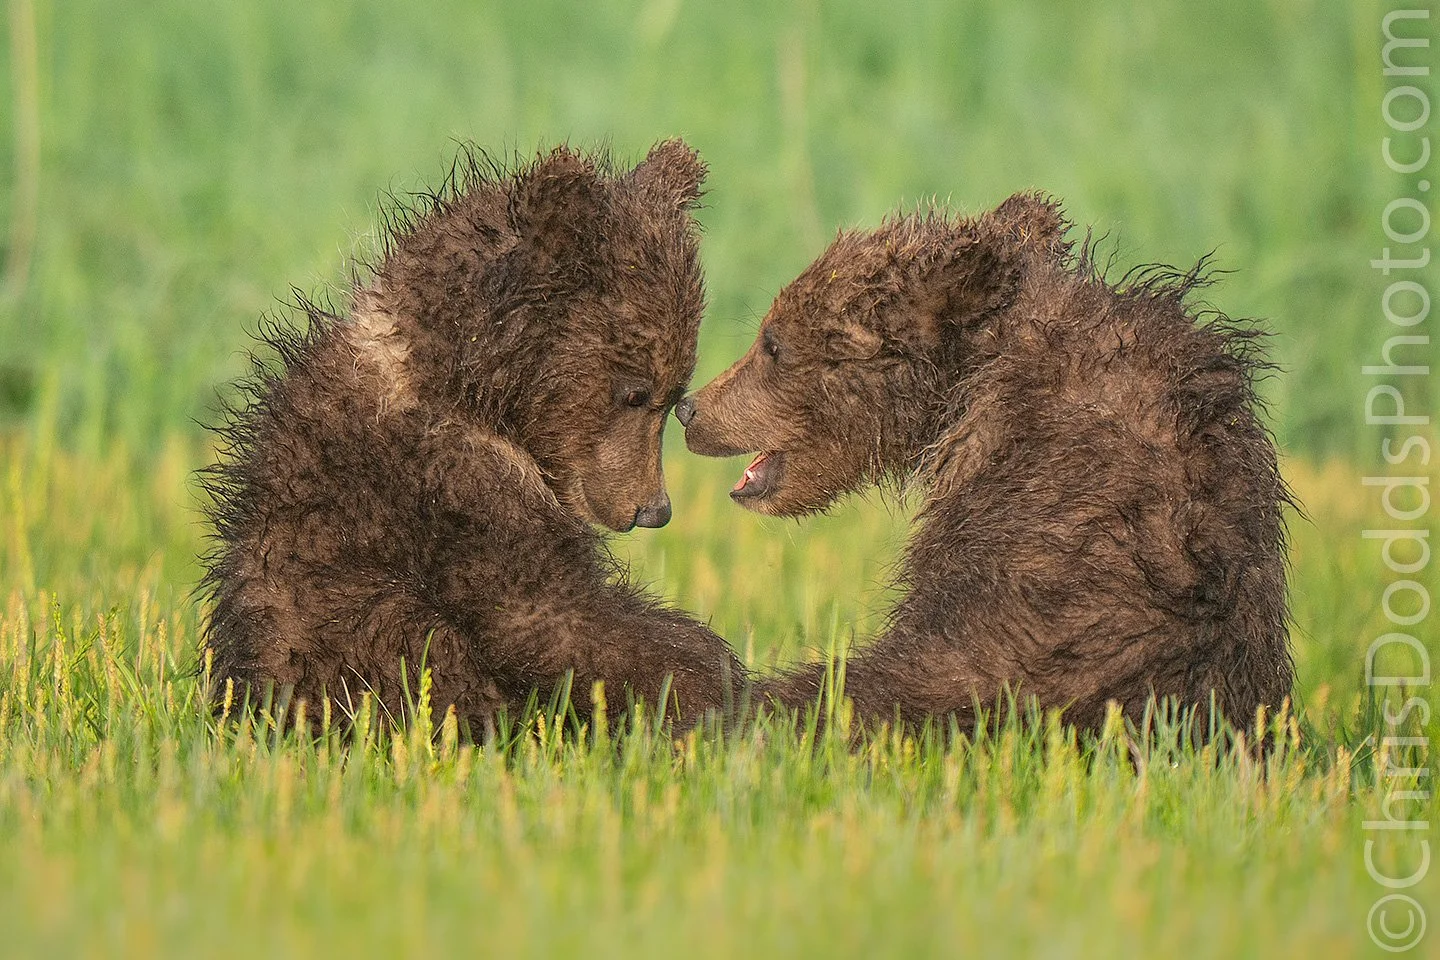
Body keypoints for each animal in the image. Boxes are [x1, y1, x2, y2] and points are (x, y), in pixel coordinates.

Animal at [199, 140, 748, 734]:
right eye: (634, 392)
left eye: (672, 397)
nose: (654, 509)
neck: (459, 385)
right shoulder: (454, 488)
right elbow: (545, 618)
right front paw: (724, 687)